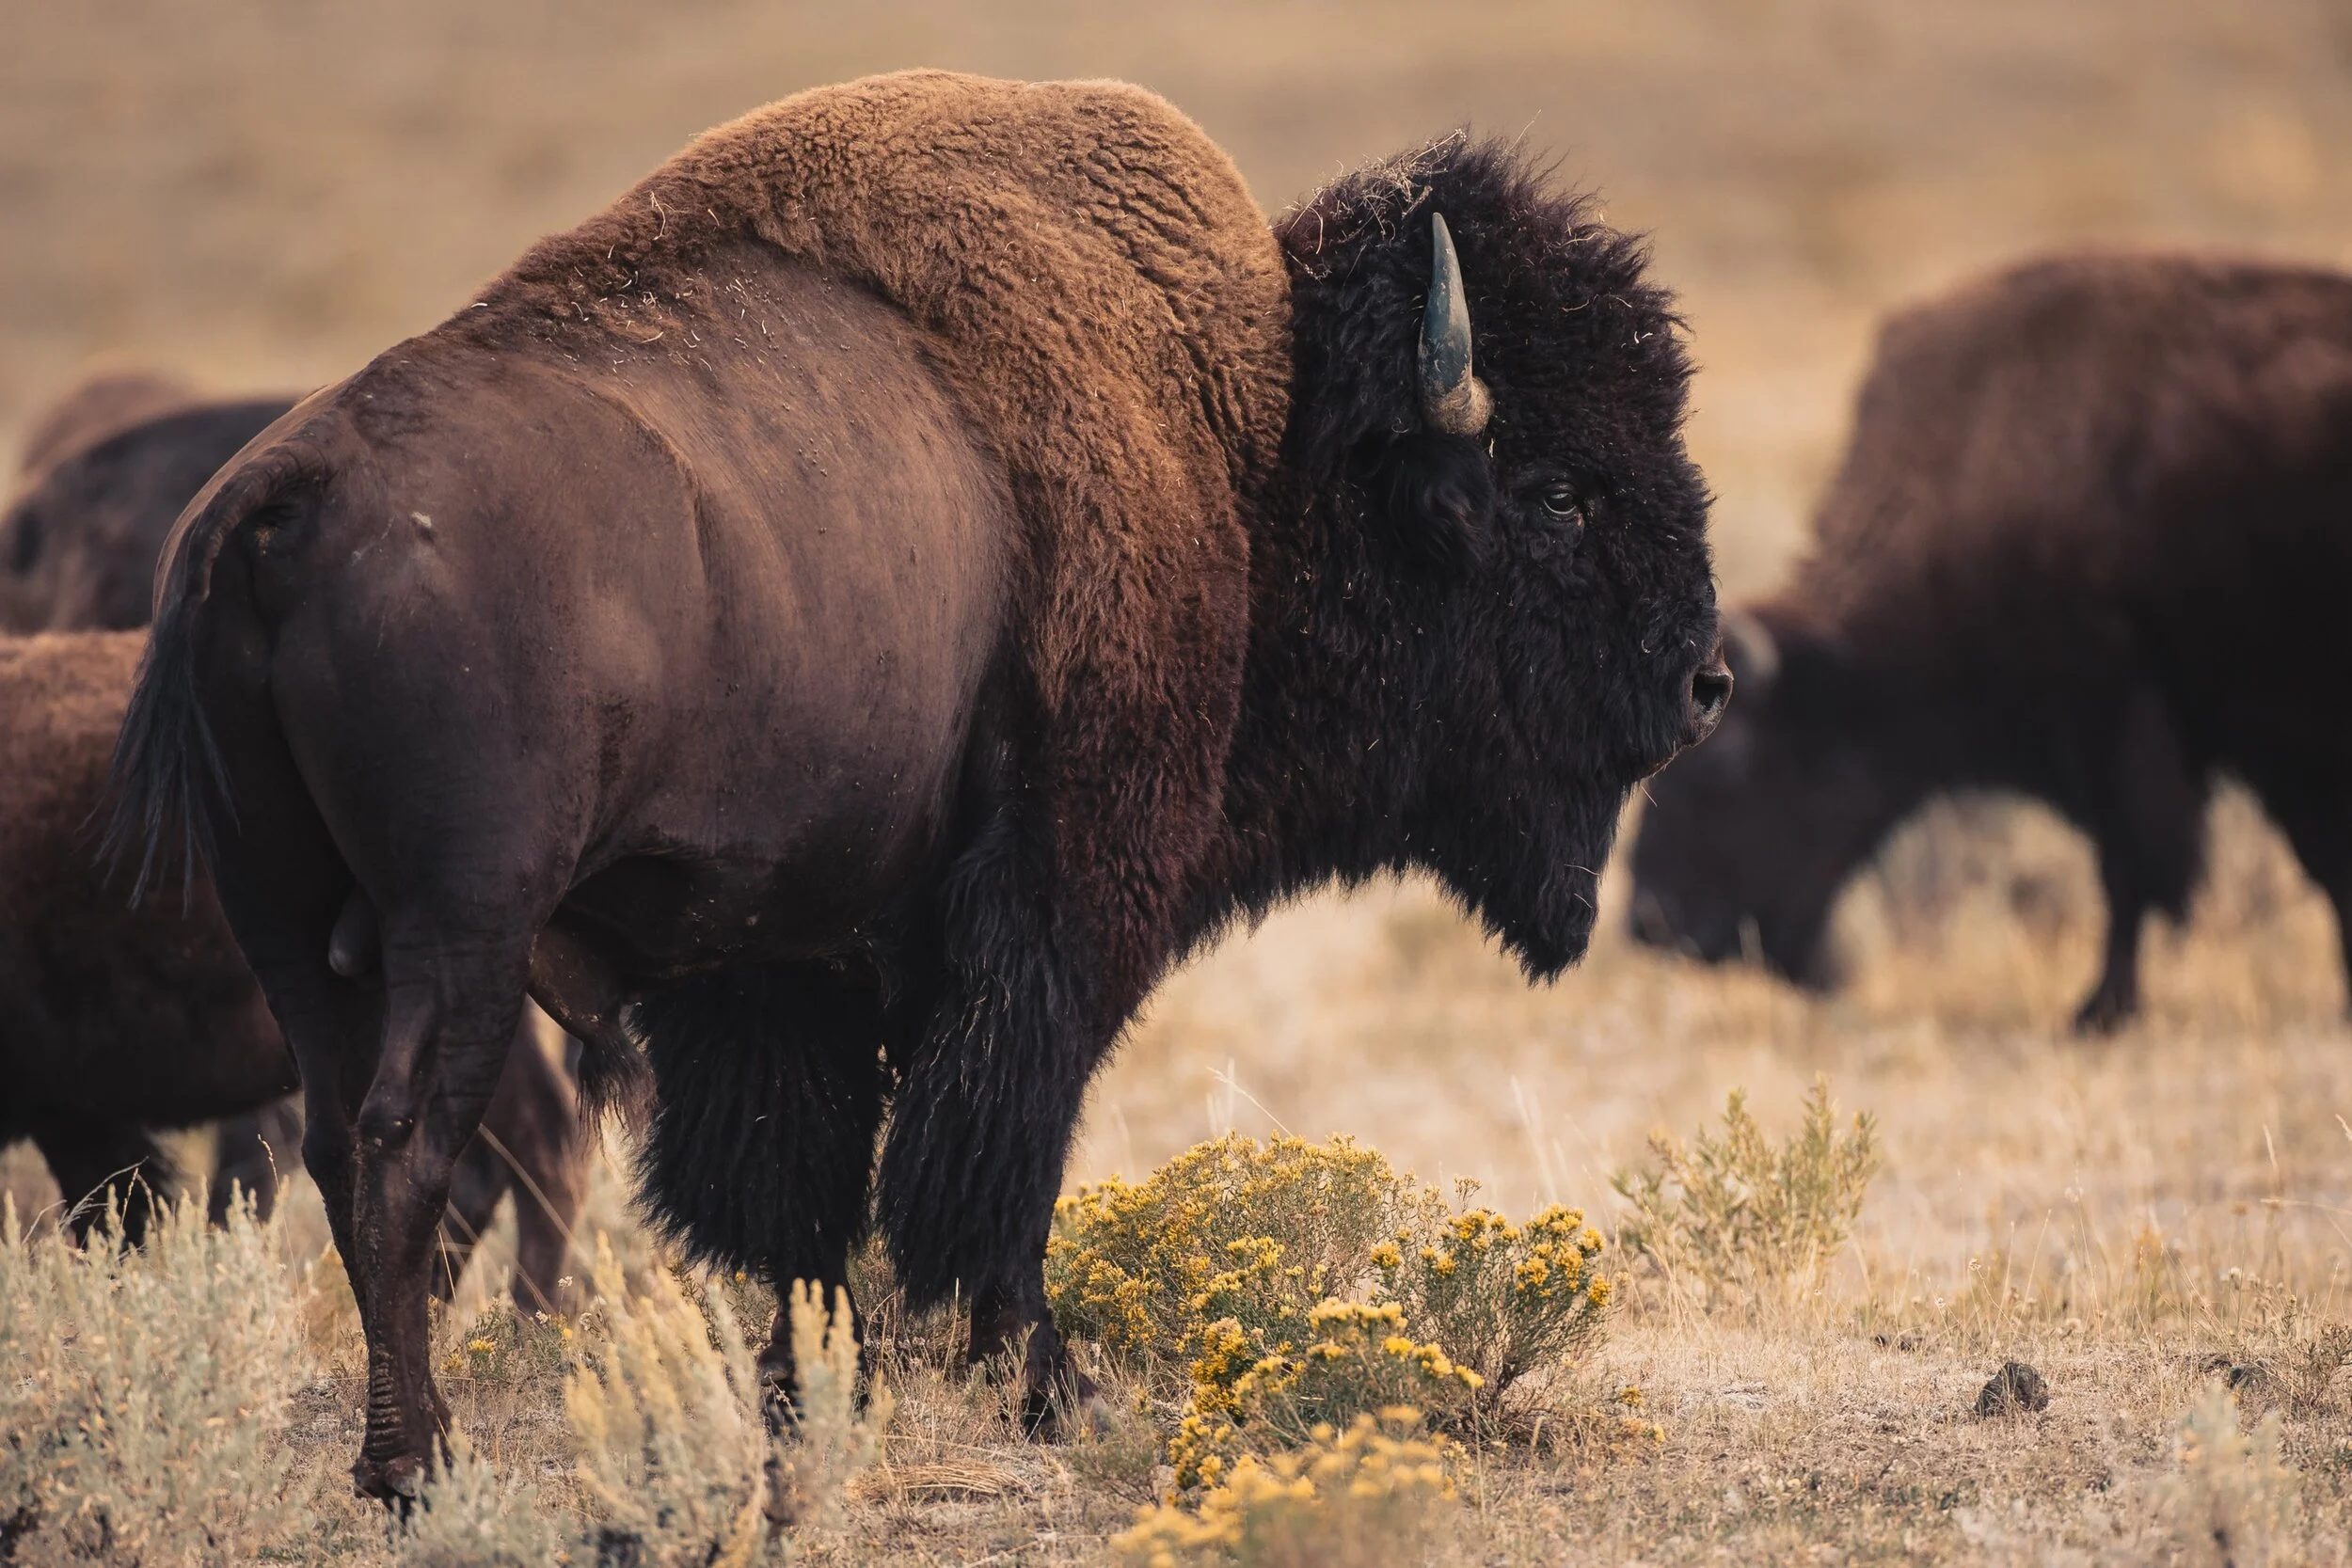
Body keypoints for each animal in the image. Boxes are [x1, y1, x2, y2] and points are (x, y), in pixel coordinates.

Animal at [113, 72, 1723, 1497]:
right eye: (1557, 494)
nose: (1705, 680)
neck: (1252, 451)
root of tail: (285, 499)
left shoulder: (778, 954)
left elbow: (800, 1186)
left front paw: (817, 1386)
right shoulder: (1056, 907)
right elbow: (998, 1144)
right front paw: (1052, 1383)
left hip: (293, 926)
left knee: (337, 1145)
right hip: (462, 926)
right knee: (402, 1149)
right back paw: (417, 1465)